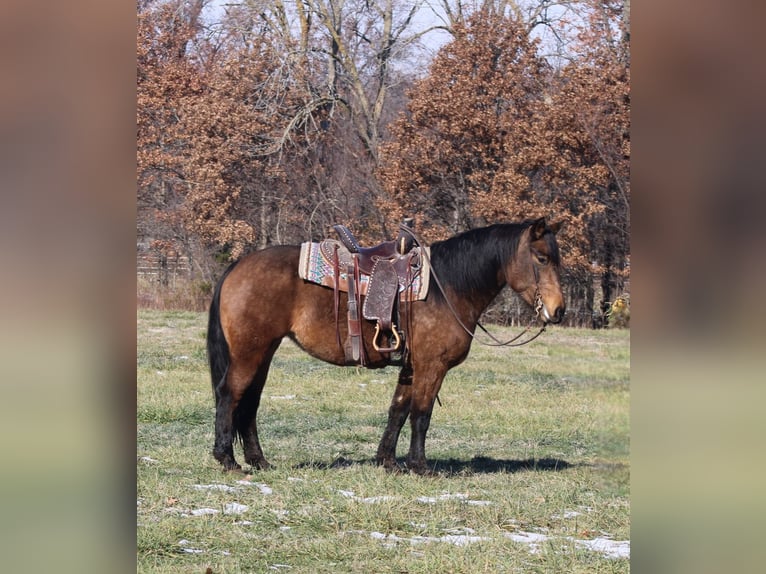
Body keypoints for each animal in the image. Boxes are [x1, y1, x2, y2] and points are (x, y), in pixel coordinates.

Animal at [206, 217, 565, 475]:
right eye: (541, 258)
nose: (558, 310)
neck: (447, 288)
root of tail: (238, 266)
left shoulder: (410, 366)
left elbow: (398, 410)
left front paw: (388, 461)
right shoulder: (431, 366)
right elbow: (421, 413)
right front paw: (420, 466)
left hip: (264, 352)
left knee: (250, 401)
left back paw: (258, 461)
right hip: (249, 353)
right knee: (230, 394)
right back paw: (228, 460)